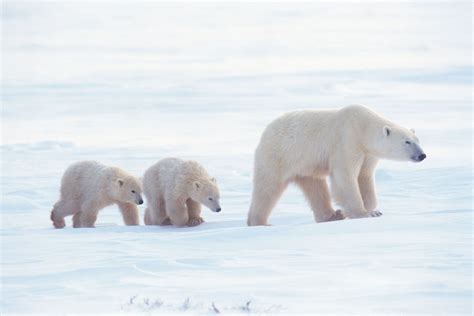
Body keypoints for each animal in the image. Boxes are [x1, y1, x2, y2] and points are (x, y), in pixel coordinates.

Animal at [248, 105, 426, 226]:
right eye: (407, 142)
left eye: (417, 140)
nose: (422, 155)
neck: (363, 126)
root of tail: (266, 131)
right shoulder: (347, 140)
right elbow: (345, 175)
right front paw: (364, 213)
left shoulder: (368, 154)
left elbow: (365, 177)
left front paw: (371, 209)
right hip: (279, 156)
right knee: (267, 189)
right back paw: (259, 222)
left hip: (305, 168)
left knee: (316, 189)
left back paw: (332, 215)